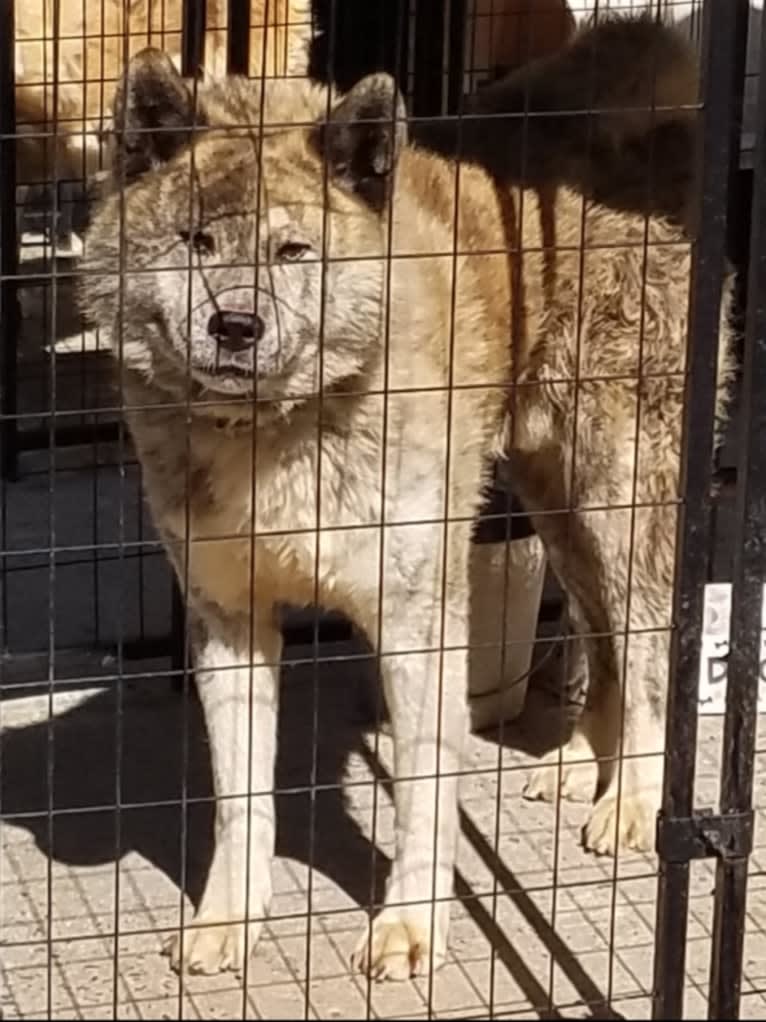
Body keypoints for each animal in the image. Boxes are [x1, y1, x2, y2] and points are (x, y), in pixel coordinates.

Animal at [81, 49, 735, 981]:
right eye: (196, 242)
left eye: (294, 252)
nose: (235, 325)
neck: (280, 429)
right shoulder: (227, 618)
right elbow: (241, 794)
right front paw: (229, 917)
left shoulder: (417, 616)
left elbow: (425, 790)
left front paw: (411, 924)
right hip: (554, 501)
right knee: (600, 632)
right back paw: (580, 763)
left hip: (620, 491)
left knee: (646, 646)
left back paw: (634, 802)